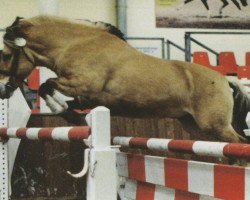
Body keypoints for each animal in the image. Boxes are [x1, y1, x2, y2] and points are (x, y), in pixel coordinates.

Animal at [0, 16, 249, 144]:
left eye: (5, 55)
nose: (3, 91)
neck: (74, 45)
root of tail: (225, 79)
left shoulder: (82, 84)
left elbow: (46, 85)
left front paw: (58, 107)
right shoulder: (87, 98)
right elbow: (56, 96)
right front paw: (72, 117)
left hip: (215, 126)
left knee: (239, 145)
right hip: (195, 126)